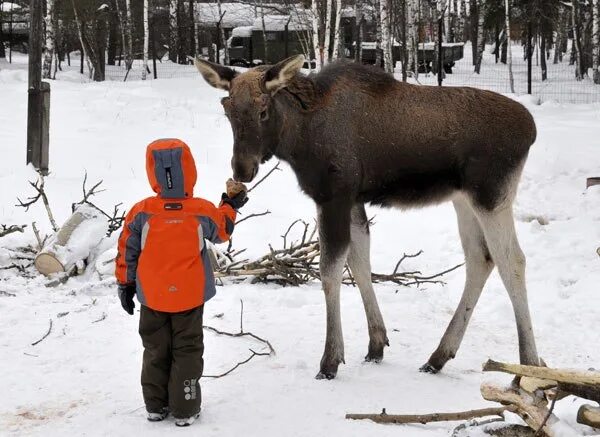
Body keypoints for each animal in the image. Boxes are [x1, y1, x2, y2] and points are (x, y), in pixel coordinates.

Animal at [195, 55, 540, 378]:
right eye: (227, 109)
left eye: (263, 110)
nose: (242, 169)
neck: (299, 138)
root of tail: (532, 130)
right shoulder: (353, 200)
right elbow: (359, 263)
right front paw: (376, 344)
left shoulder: (333, 196)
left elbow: (330, 271)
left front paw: (330, 360)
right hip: (463, 200)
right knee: (480, 259)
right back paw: (438, 356)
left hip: (492, 197)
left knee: (513, 261)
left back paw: (528, 365)